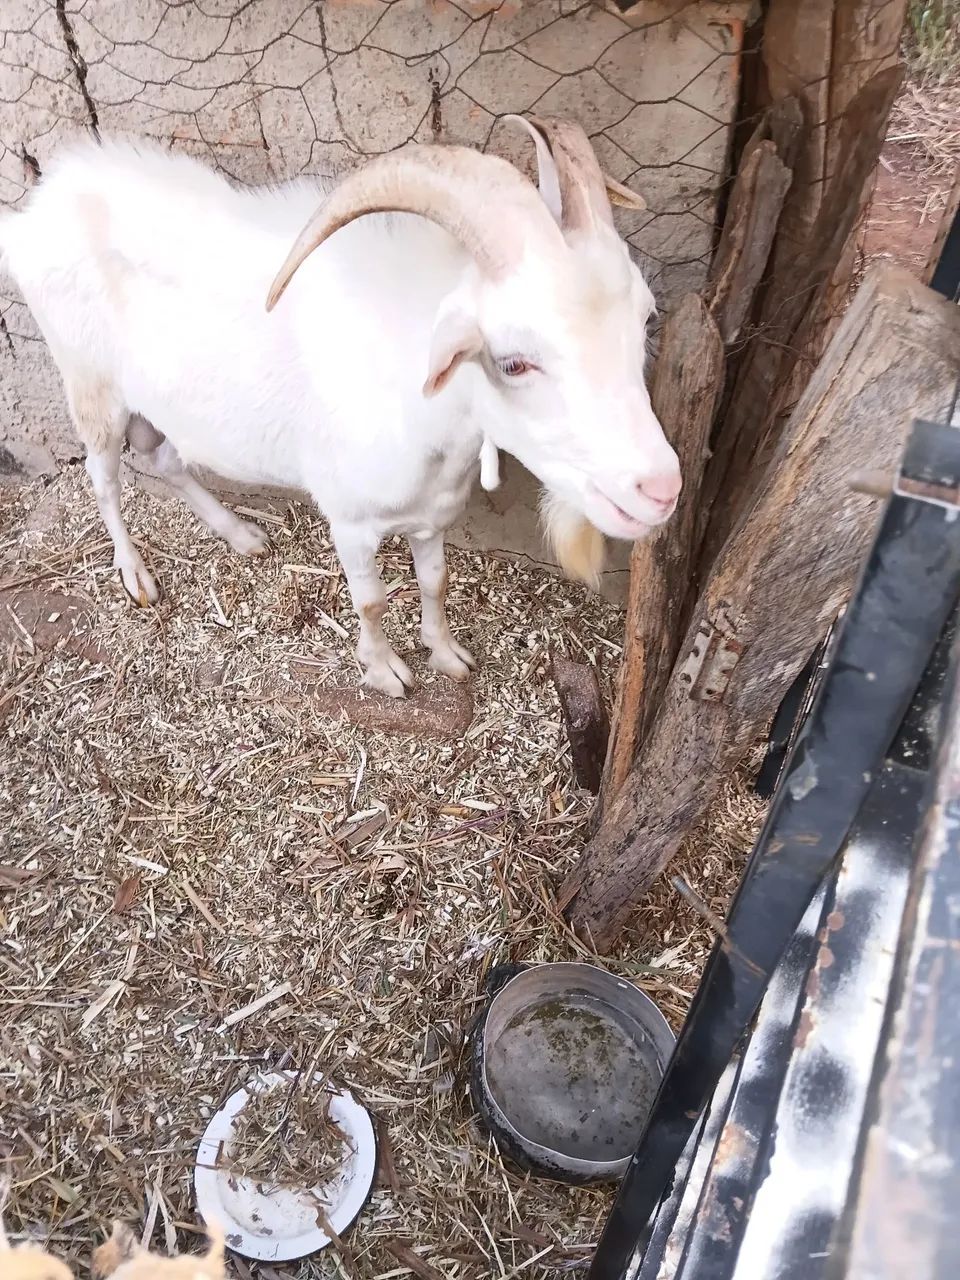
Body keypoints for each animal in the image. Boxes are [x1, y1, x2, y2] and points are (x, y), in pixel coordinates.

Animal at [0, 118, 680, 697]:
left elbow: (435, 580)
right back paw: (136, 575)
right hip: (90, 383)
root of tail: (38, 207)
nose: (661, 490)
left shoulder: (433, 513)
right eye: (512, 361)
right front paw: (386, 673)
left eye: (645, 320)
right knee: (105, 477)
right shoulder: (350, 521)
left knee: (166, 459)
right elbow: (371, 600)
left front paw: (447, 655)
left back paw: (242, 534)